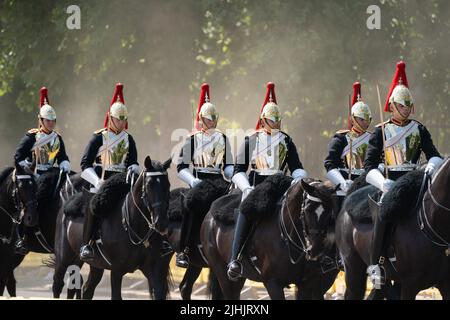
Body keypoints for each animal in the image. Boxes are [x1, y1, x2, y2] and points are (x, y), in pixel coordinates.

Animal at [51, 158, 172, 300]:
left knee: (86, 289)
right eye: (149, 185)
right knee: (58, 284)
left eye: (168, 185)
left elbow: (159, 293)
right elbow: (116, 295)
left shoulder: (153, 268)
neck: (135, 227)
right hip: (63, 258)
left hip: (92, 263)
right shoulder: (116, 270)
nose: (162, 223)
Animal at [200, 174, 338, 298]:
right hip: (223, 274)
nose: (316, 250)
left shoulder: (306, 284)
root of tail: (210, 215)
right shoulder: (273, 283)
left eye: (329, 211)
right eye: (308, 209)